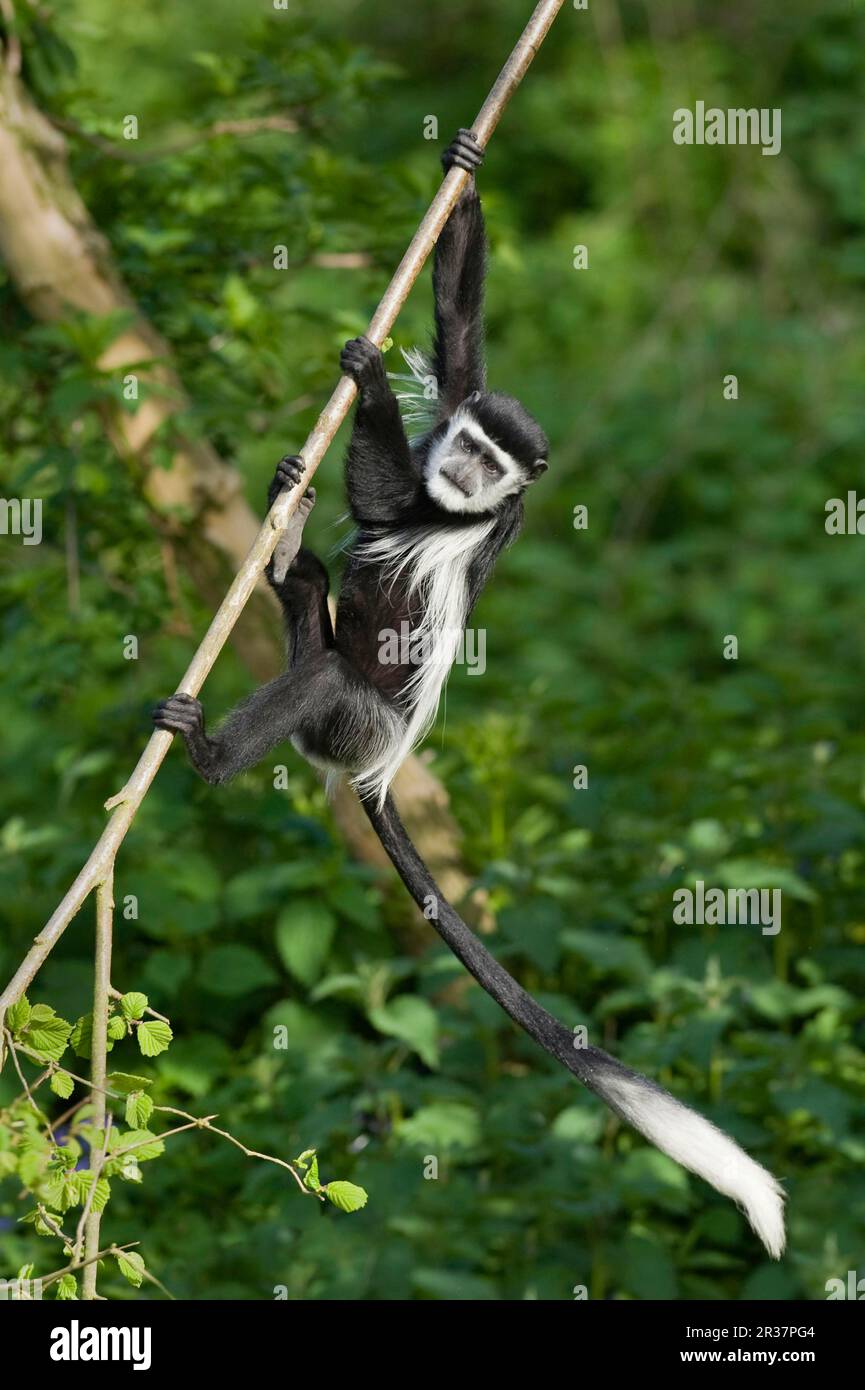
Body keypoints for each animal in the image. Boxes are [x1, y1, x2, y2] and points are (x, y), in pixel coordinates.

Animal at [154, 129, 785, 1258]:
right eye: (471, 444)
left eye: (490, 465)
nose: (462, 467)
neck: (467, 500)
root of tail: (377, 768)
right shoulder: (457, 414)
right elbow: (457, 342)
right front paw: (465, 169)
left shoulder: (459, 520)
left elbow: (381, 500)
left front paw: (364, 381)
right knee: (319, 590)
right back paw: (286, 548)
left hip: (353, 718)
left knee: (327, 675)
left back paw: (211, 751)